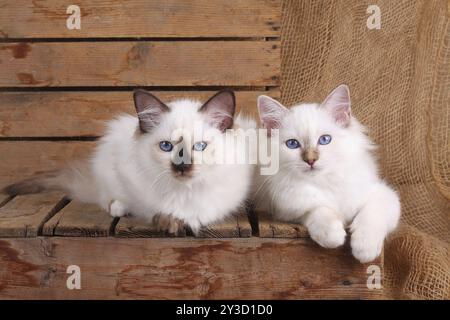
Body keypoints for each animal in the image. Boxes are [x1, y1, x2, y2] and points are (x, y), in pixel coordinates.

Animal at [3, 90, 255, 235]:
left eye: (200, 147)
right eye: (167, 147)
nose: (182, 166)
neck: (183, 191)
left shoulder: (225, 197)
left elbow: (201, 210)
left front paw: (184, 221)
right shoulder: (133, 183)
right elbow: (153, 209)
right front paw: (167, 222)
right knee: (108, 198)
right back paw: (119, 207)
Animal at [255, 85, 400, 262]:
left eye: (325, 140)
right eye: (292, 144)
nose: (311, 160)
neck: (325, 181)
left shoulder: (385, 196)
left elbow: (371, 216)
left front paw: (365, 249)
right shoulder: (288, 209)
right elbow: (320, 210)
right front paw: (333, 237)